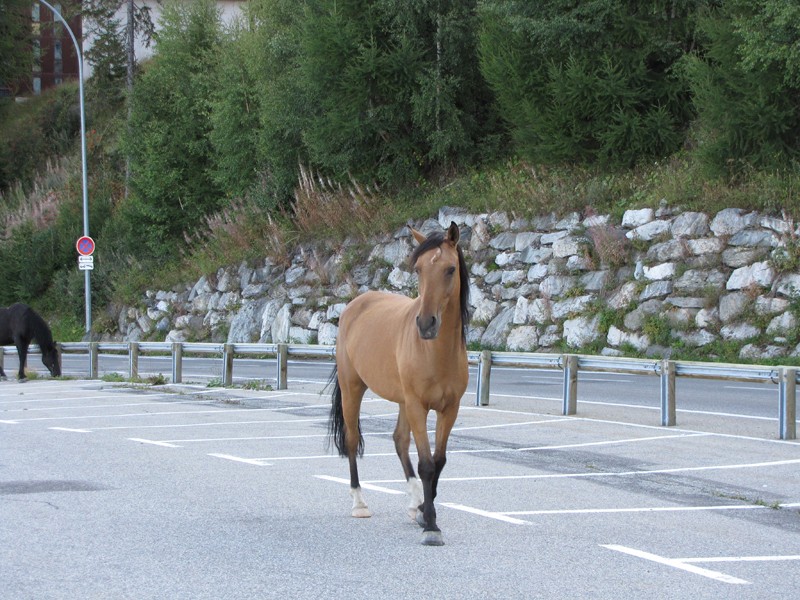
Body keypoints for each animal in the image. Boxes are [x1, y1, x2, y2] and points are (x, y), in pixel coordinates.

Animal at [328, 223, 472, 548]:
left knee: (399, 441)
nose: (426, 324)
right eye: (418, 269)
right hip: (353, 388)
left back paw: (415, 503)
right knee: (352, 440)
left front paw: (425, 513)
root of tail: (353, 306)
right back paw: (360, 503)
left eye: (450, 269)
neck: (437, 353)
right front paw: (431, 526)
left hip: (403, 401)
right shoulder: (418, 405)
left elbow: (439, 462)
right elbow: (426, 464)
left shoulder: (449, 409)